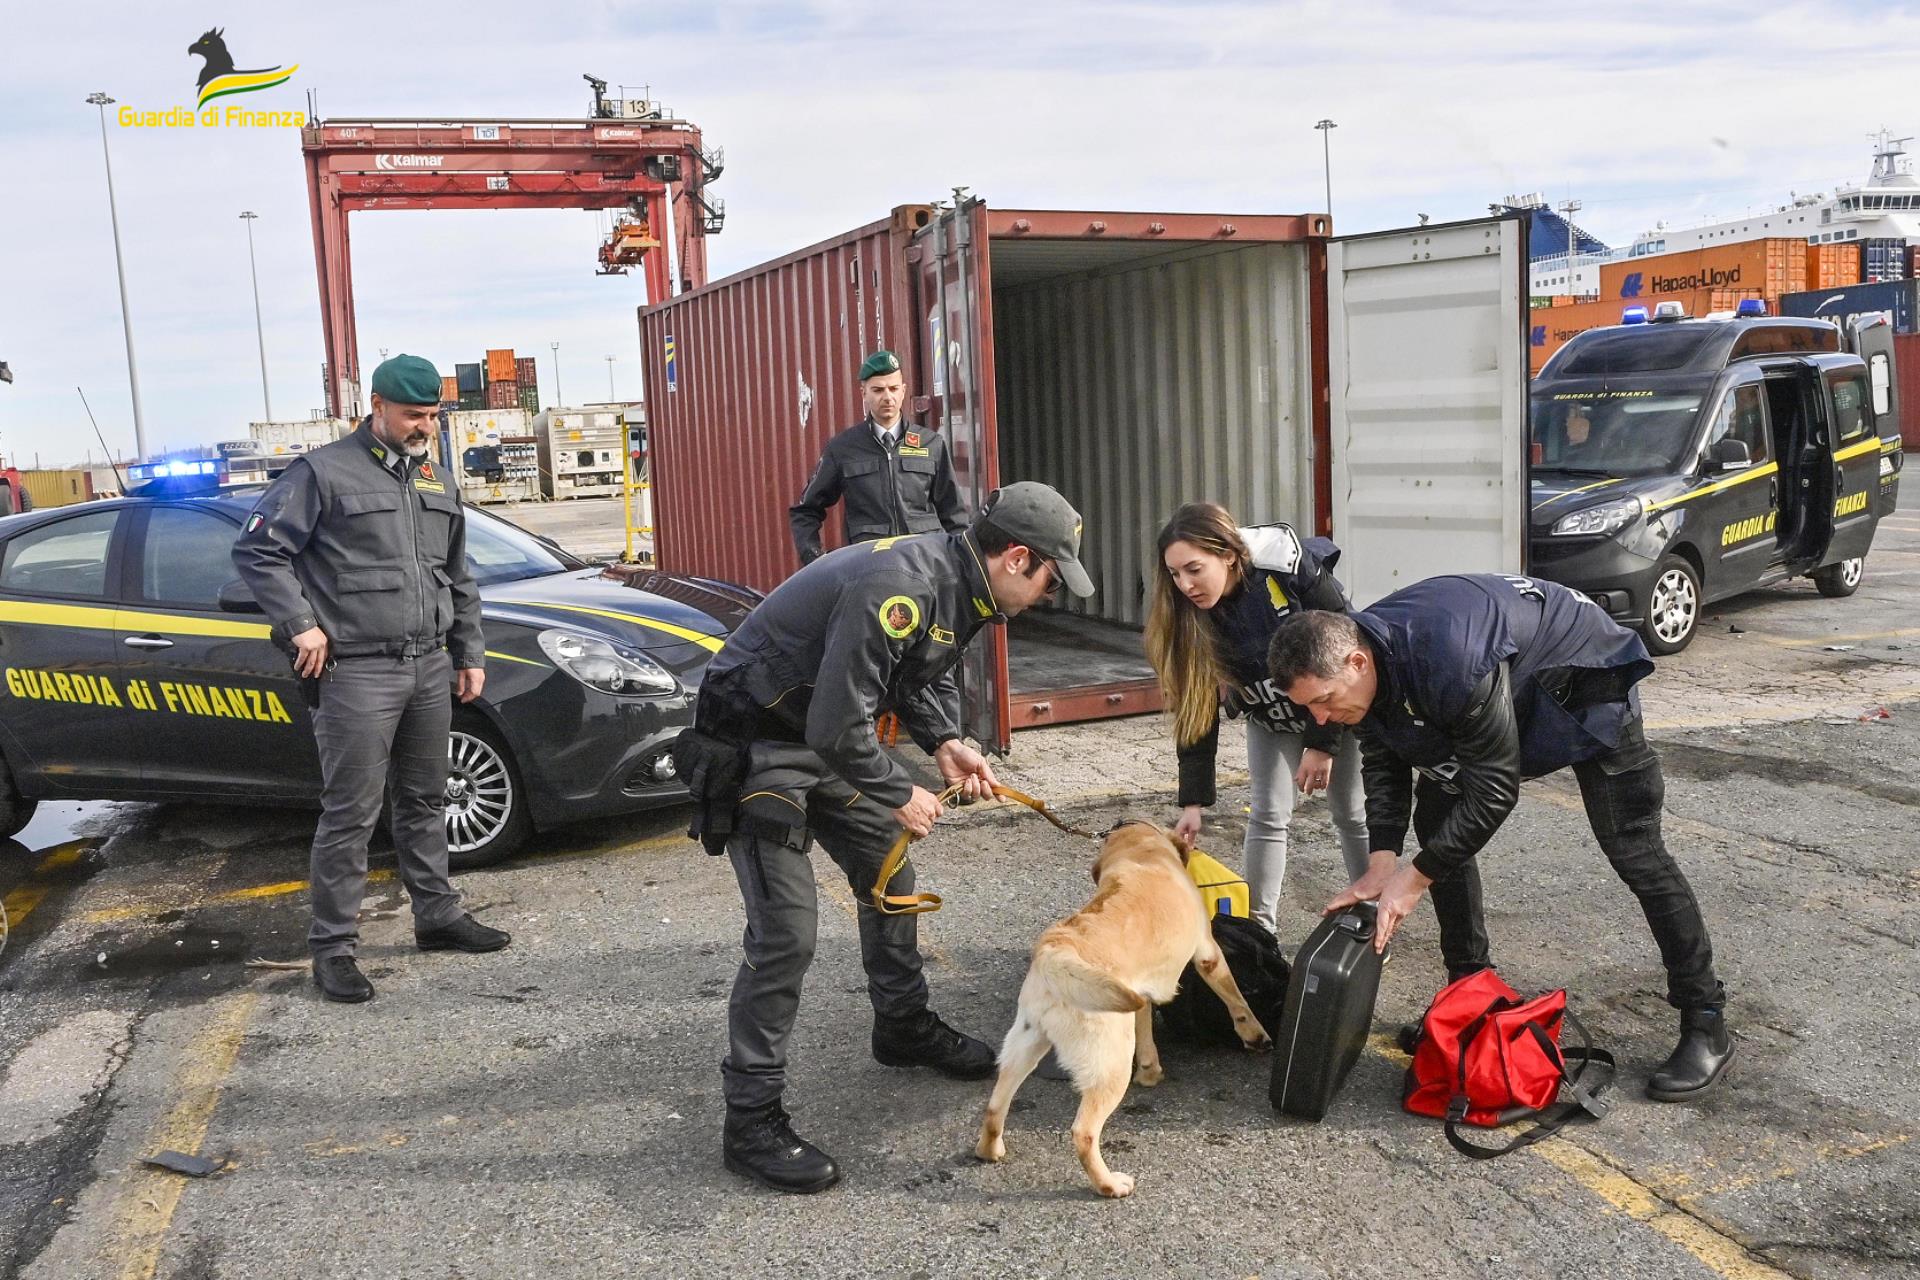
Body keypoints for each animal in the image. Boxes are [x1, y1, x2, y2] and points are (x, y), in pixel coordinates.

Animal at [975, 825, 1274, 1197]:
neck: (1141, 851)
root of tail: (1055, 951)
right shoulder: (1208, 952)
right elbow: (1236, 1000)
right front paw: (1255, 1034)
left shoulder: (1140, 993)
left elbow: (1146, 1033)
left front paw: (1149, 1072)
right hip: (1111, 1064)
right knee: (1084, 1133)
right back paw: (1109, 1185)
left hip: (1025, 1047)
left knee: (993, 1108)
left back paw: (989, 1150)